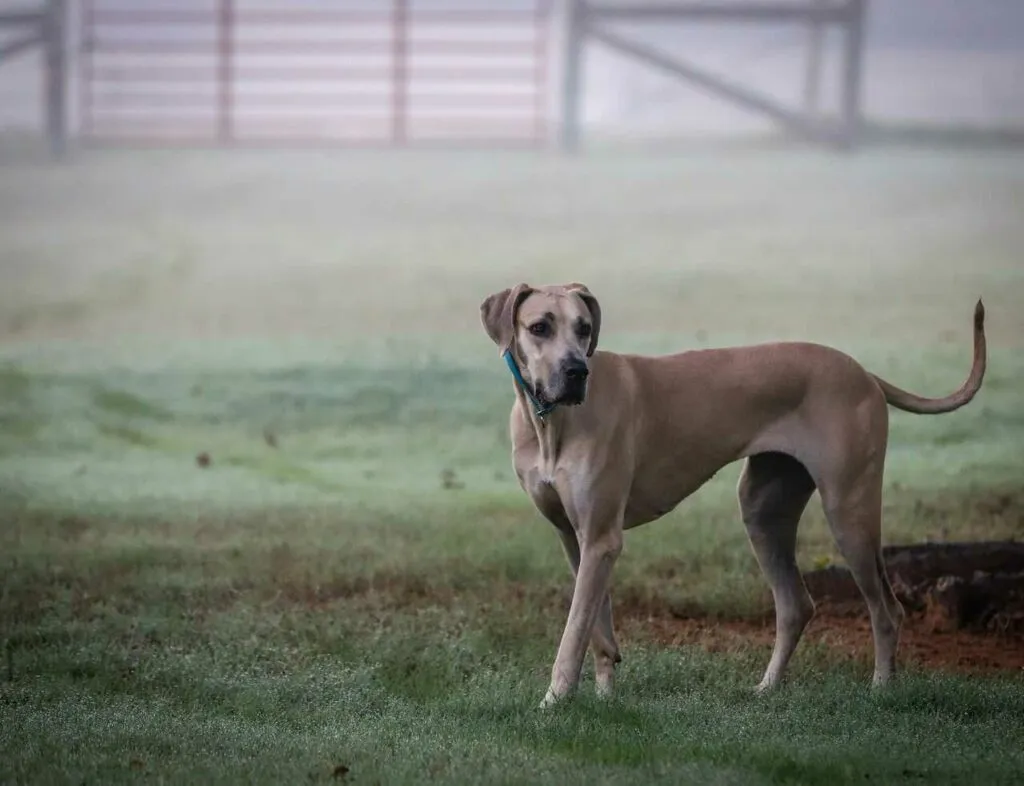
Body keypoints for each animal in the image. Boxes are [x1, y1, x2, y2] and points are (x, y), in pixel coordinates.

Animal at [483, 282, 987, 704]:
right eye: (540, 327)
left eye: (584, 327)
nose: (576, 371)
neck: (549, 422)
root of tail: (864, 372)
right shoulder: (578, 539)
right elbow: (595, 625)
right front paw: (605, 695)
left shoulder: (602, 537)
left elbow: (573, 632)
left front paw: (554, 702)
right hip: (763, 510)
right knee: (796, 605)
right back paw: (768, 688)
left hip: (850, 511)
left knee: (887, 609)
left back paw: (881, 688)